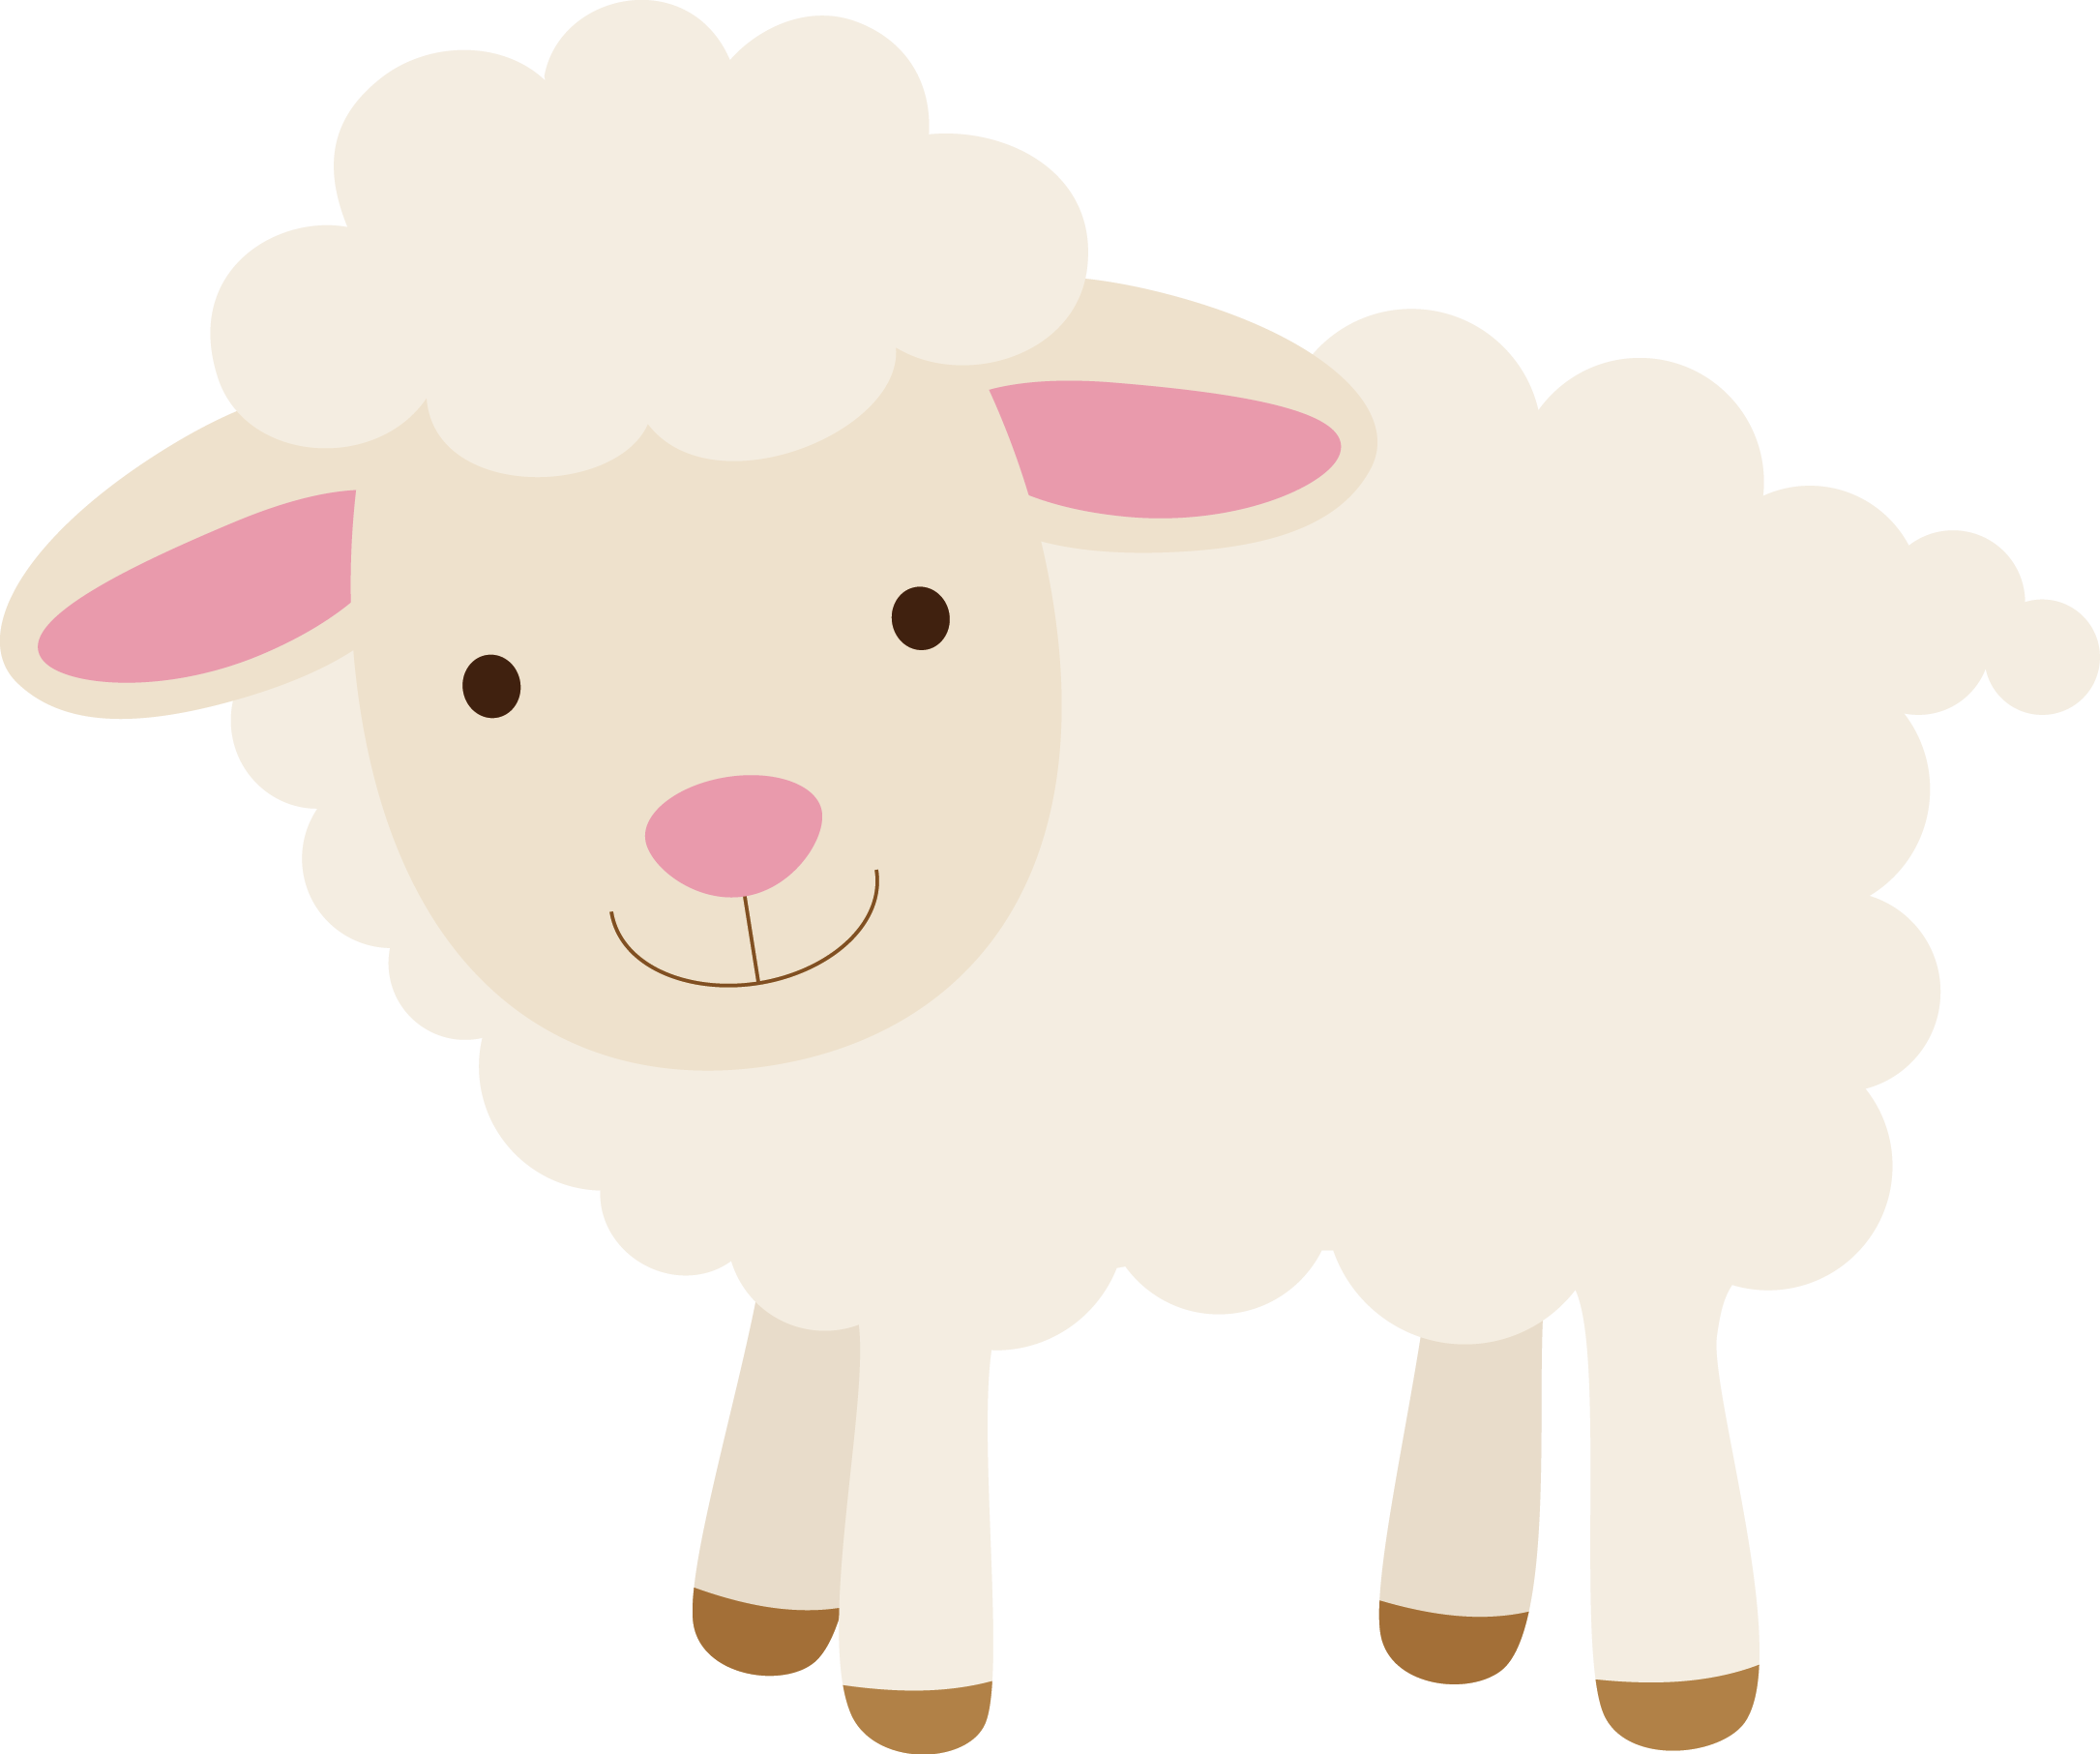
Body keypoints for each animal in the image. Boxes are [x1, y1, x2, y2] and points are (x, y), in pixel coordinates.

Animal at [4, 6, 2094, 1754]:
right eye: (485, 680)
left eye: (925, 613)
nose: (735, 831)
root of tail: (1861, 570)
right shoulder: (832, 1175)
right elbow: (798, 1353)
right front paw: (755, 1610)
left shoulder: (950, 1192)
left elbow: (916, 1402)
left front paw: (912, 1686)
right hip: (1476, 1088)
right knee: (1493, 1304)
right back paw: (1442, 1622)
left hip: (1696, 1082)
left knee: (1655, 1338)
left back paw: (1667, 1677)